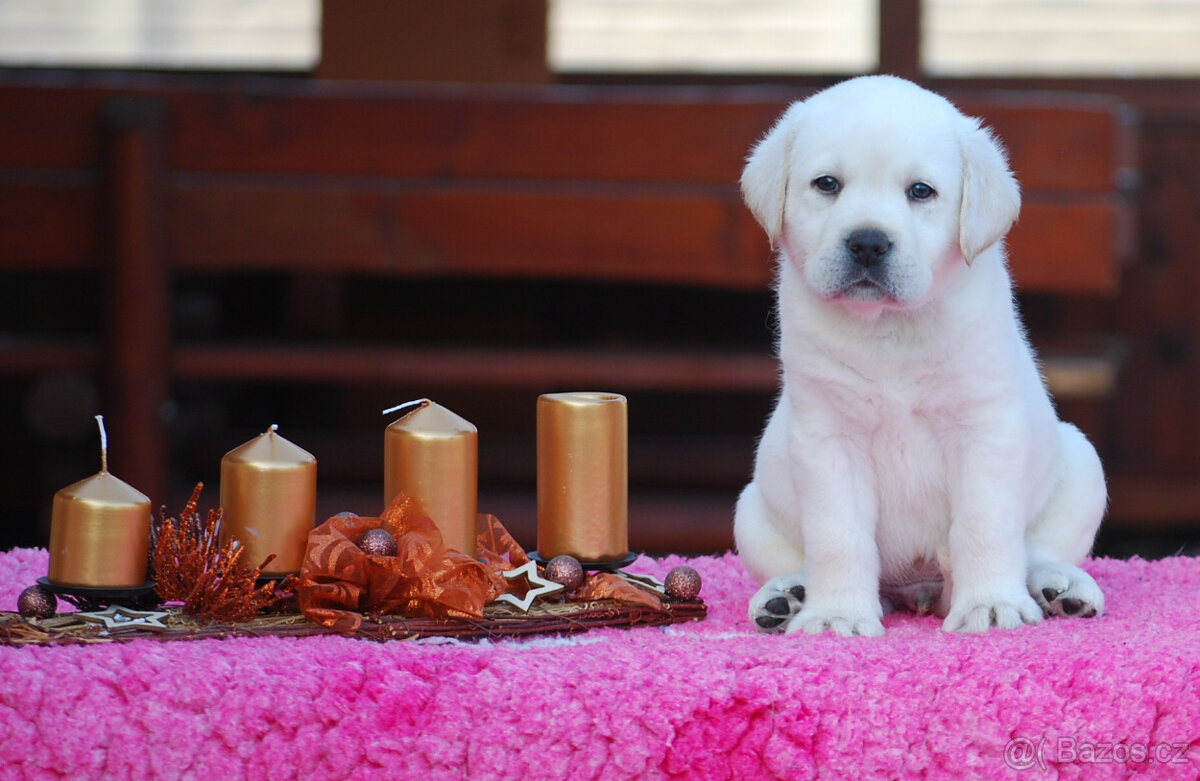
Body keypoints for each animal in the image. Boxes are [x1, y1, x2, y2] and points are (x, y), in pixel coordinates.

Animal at [734, 76, 1108, 633]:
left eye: (920, 191)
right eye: (827, 184)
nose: (868, 242)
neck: (890, 328)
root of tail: (919, 592)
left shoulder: (985, 430)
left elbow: (984, 525)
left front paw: (989, 604)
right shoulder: (827, 439)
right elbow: (837, 536)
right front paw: (837, 614)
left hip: (1082, 461)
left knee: (1040, 549)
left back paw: (1058, 588)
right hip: (752, 507)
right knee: (798, 559)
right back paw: (789, 596)